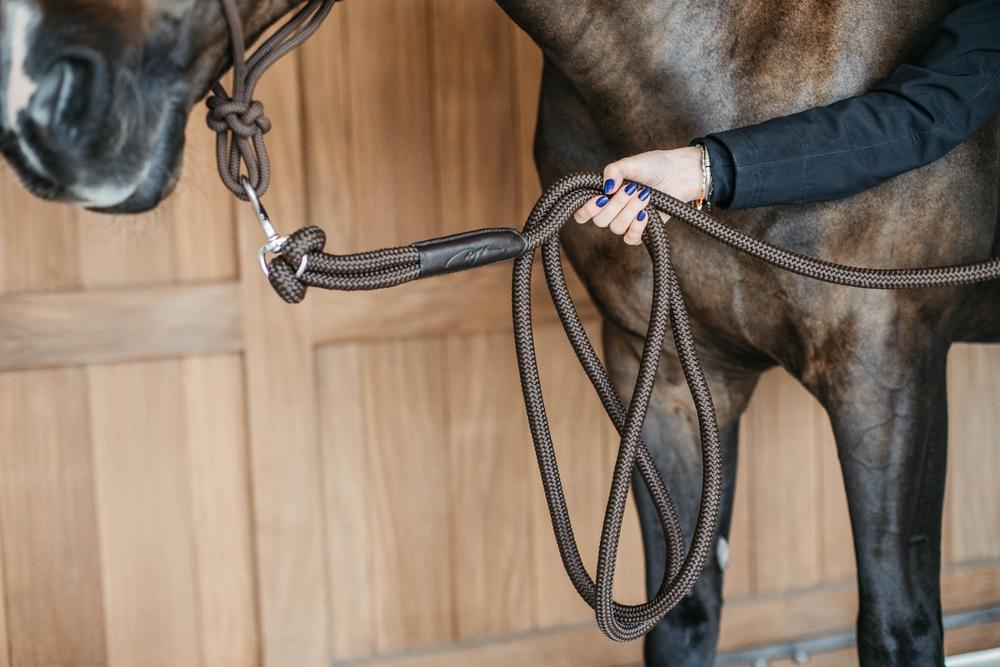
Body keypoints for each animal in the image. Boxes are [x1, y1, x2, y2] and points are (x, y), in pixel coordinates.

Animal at [0, 0, 996, 664]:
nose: (39, 113)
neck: (735, 63)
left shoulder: (888, 376)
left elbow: (900, 622)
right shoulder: (669, 376)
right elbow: (679, 610)